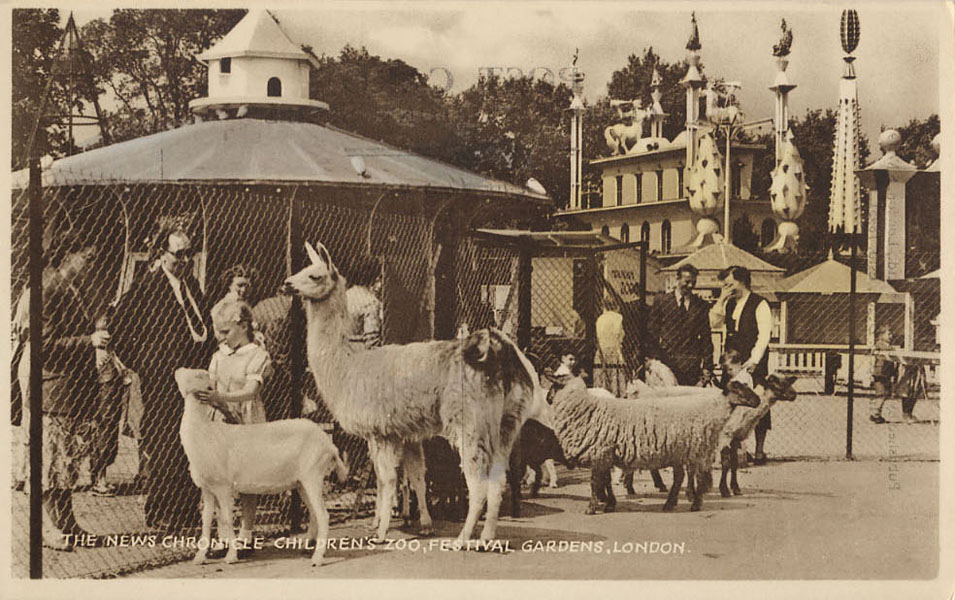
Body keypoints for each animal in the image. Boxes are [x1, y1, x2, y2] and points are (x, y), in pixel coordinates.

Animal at [283, 241, 539, 544]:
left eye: (314, 275)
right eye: (302, 268)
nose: (287, 284)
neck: (347, 368)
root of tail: (500, 353)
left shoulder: (380, 430)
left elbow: (388, 479)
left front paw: (381, 531)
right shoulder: (401, 431)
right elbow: (409, 475)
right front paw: (413, 523)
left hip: (471, 421)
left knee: (478, 481)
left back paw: (463, 538)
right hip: (506, 422)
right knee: (498, 478)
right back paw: (486, 537)